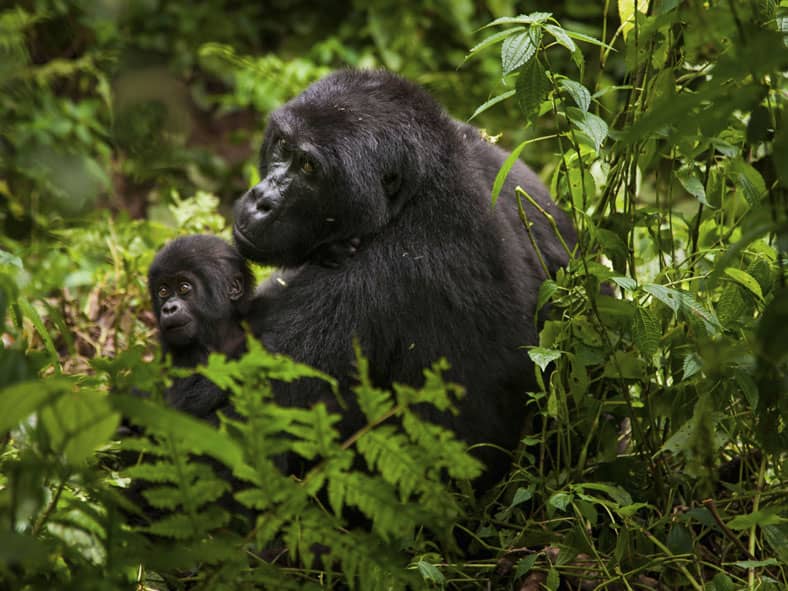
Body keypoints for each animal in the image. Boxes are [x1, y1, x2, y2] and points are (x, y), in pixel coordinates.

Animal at [231, 70, 576, 486]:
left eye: (309, 167)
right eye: (282, 146)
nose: (261, 200)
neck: (419, 190)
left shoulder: (374, 278)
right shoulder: (498, 162)